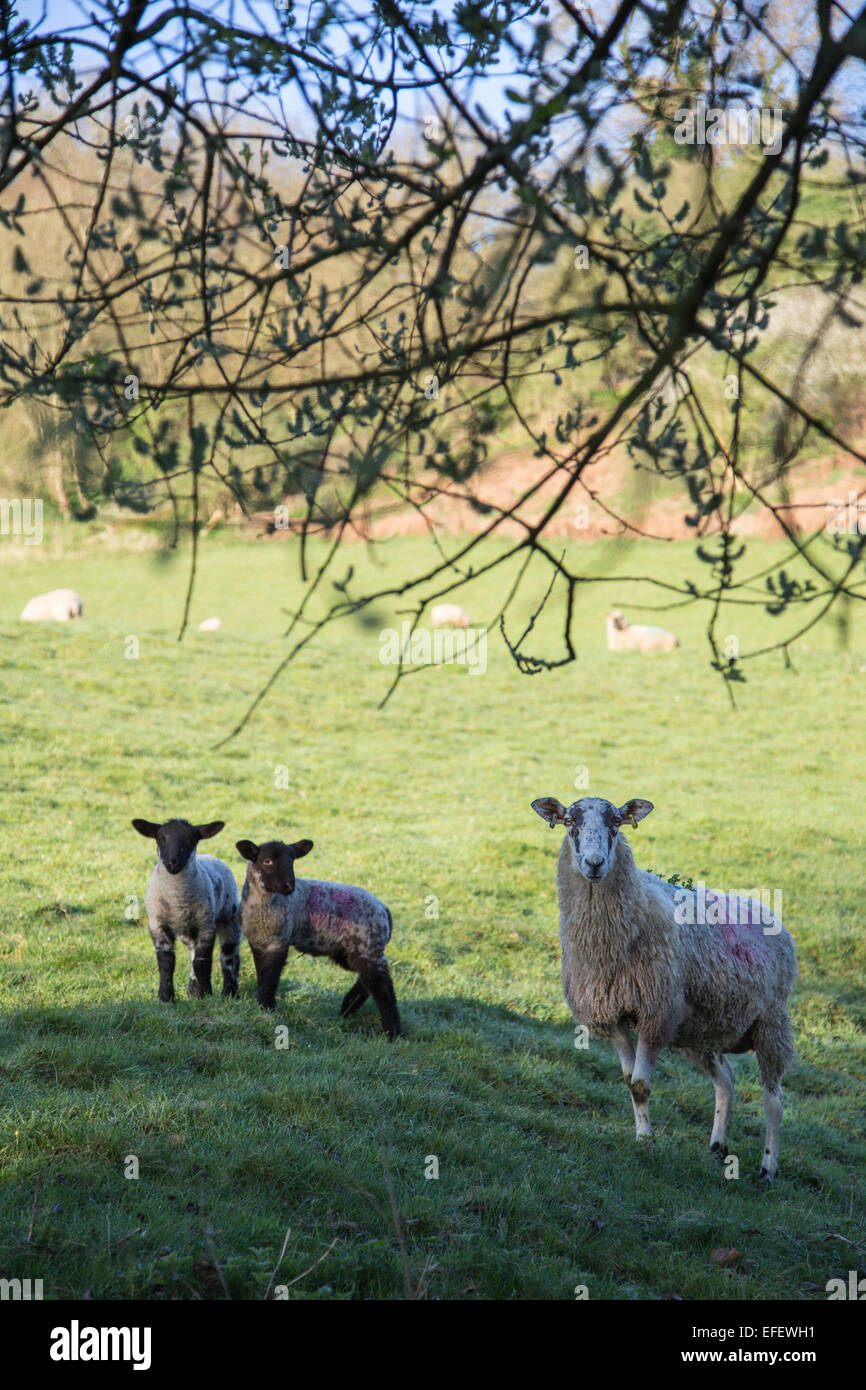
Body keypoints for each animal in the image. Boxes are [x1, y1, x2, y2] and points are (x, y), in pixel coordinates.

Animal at [131, 818, 241, 1002]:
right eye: (160, 838)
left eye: (192, 839)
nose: (173, 862)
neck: (177, 900)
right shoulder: (157, 925)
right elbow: (167, 962)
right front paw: (166, 997)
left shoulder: (206, 926)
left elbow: (202, 961)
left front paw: (205, 994)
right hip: (188, 931)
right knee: (192, 953)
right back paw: (192, 990)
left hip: (229, 916)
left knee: (229, 955)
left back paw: (230, 992)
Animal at [236, 836, 401, 1038]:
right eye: (267, 861)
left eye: (292, 860)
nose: (289, 886)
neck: (262, 905)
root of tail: (385, 911)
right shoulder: (259, 943)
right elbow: (262, 977)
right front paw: (263, 1007)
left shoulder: (278, 942)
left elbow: (270, 979)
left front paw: (268, 1009)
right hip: (351, 952)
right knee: (370, 978)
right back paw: (347, 1010)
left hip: (366, 945)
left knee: (381, 984)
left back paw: (392, 1032)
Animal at [530, 795, 797, 1182]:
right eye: (568, 822)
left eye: (616, 822)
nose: (594, 864)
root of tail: (770, 914)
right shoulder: (614, 1015)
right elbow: (630, 1081)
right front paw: (643, 1138)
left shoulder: (655, 1014)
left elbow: (641, 1084)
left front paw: (647, 1144)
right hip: (700, 1030)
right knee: (726, 1080)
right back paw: (718, 1147)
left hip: (771, 1022)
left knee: (773, 1101)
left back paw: (767, 1169)